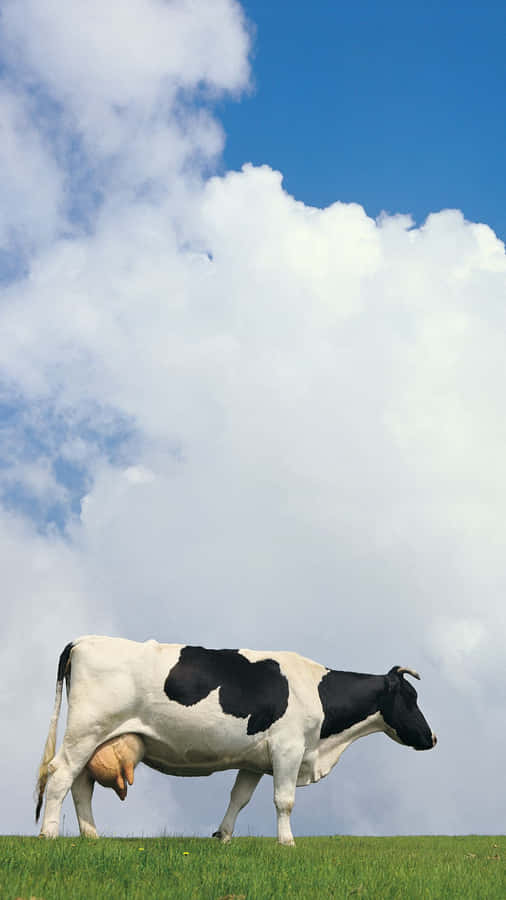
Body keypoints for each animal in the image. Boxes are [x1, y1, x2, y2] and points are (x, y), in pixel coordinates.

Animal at [36, 636, 437, 845]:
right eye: (411, 698)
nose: (433, 737)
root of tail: (85, 640)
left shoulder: (255, 759)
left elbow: (239, 798)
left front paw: (222, 836)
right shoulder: (288, 749)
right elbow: (284, 801)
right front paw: (287, 842)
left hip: (95, 737)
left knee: (80, 784)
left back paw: (91, 836)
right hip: (86, 730)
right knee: (60, 776)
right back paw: (49, 834)